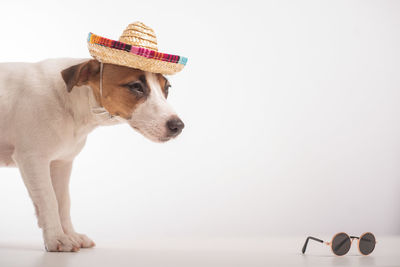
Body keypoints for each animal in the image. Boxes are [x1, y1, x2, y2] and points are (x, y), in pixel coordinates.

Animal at [0, 57, 185, 252]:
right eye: (136, 86)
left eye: (167, 88)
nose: (178, 126)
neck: (68, 97)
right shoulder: (33, 160)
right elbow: (49, 200)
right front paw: (57, 238)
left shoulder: (61, 163)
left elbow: (62, 201)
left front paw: (70, 235)